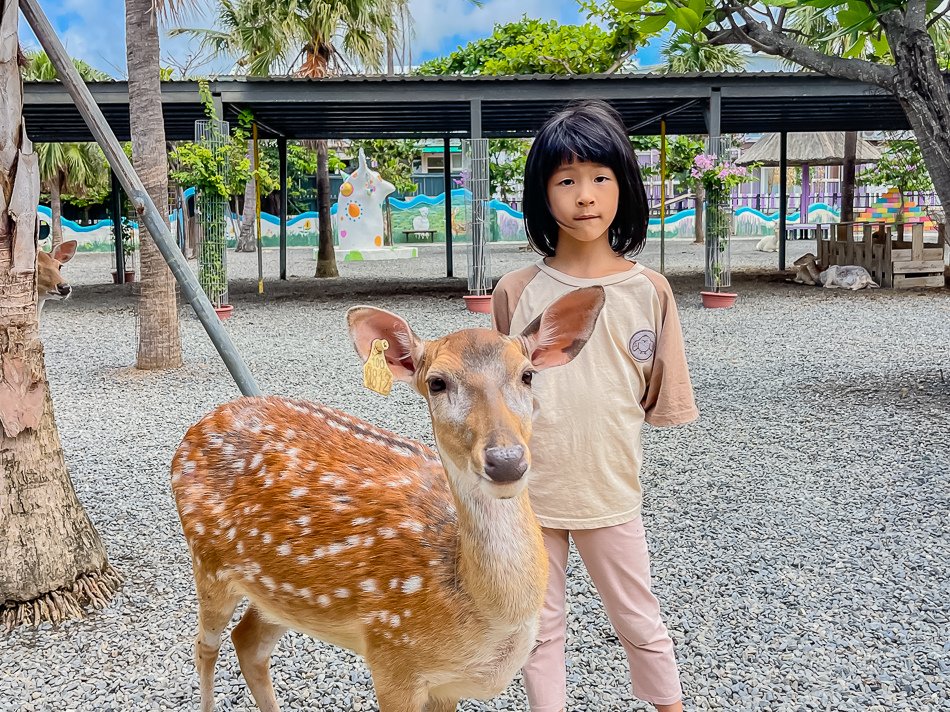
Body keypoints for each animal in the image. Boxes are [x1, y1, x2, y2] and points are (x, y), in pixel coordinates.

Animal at [171, 286, 608, 712]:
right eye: (437, 382)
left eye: (527, 374)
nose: (506, 460)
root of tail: (200, 424)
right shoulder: (391, 654)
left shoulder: (445, 686)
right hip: (207, 561)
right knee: (204, 645)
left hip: (279, 594)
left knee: (248, 643)